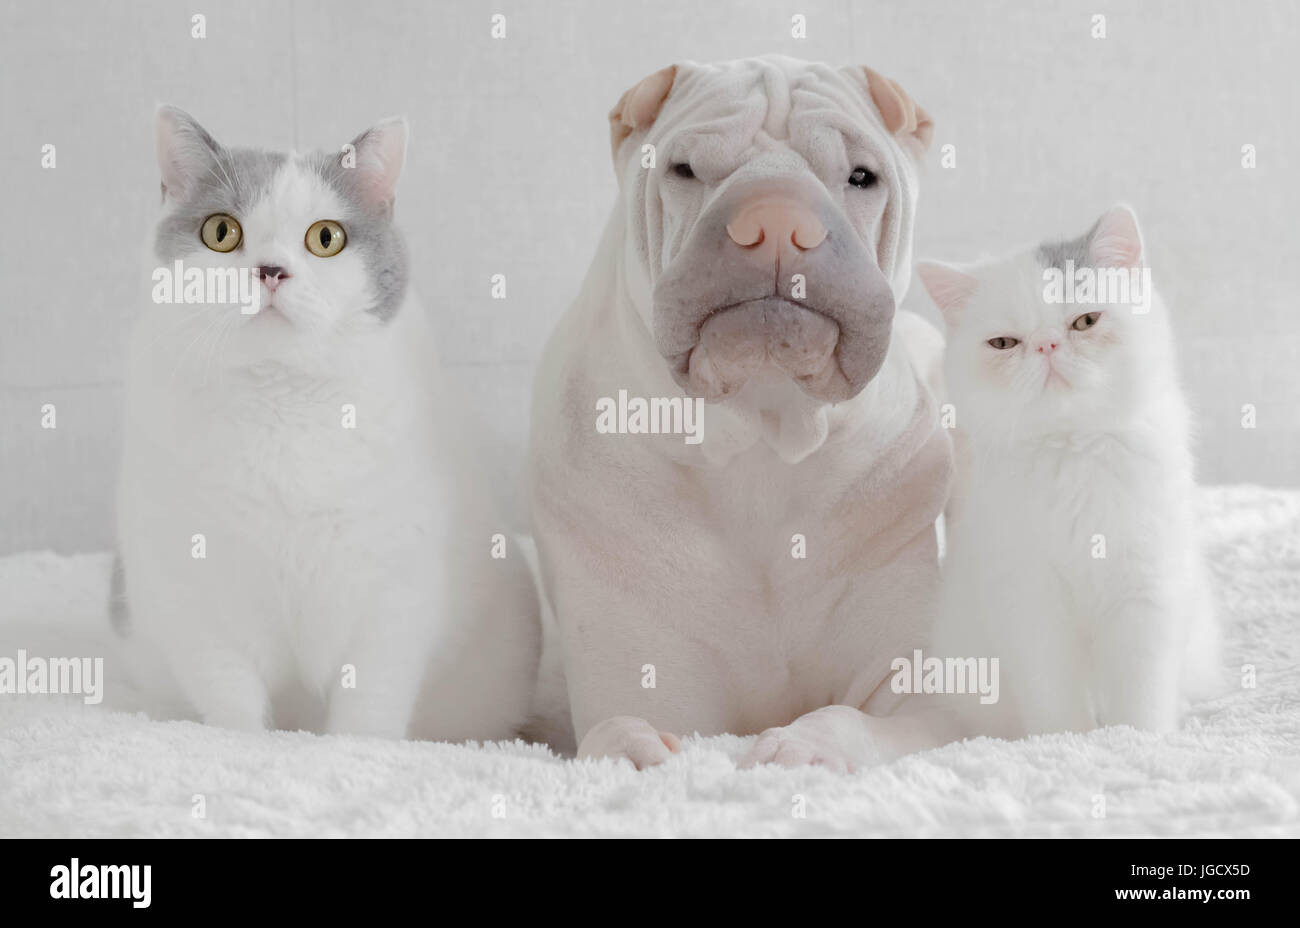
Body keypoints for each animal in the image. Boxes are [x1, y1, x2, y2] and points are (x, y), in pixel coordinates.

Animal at [114, 103, 535, 738]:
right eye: (221, 232)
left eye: (325, 238)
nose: (271, 271)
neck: (281, 409)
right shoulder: (193, 594)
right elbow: (229, 700)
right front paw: (239, 744)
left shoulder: (391, 596)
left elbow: (368, 708)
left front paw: (351, 749)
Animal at [915, 206, 1216, 733]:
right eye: (1004, 343)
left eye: (1086, 320)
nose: (1047, 345)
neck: (1074, 449)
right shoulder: (1029, 598)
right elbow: (1054, 699)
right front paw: (1067, 742)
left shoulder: (1147, 587)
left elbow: (1142, 692)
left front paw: (1141, 739)